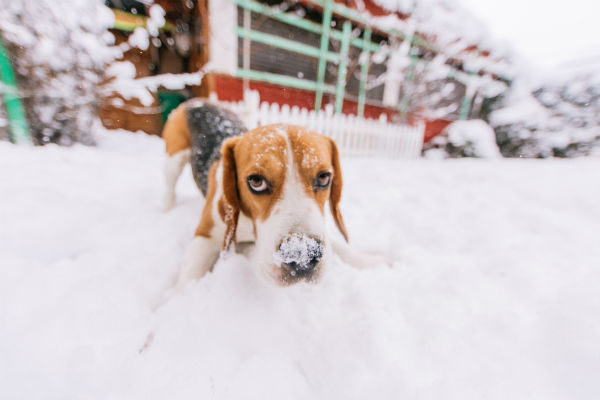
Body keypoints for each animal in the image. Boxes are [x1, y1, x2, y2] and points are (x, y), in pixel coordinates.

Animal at [163, 100, 390, 288]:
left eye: (324, 177)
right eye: (256, 181)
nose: (302, 254)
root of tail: (196, 102)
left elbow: (340, 247)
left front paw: (371, 261)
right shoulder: (205, 235)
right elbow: (189, 278)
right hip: (173, 159)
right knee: (169, 185)